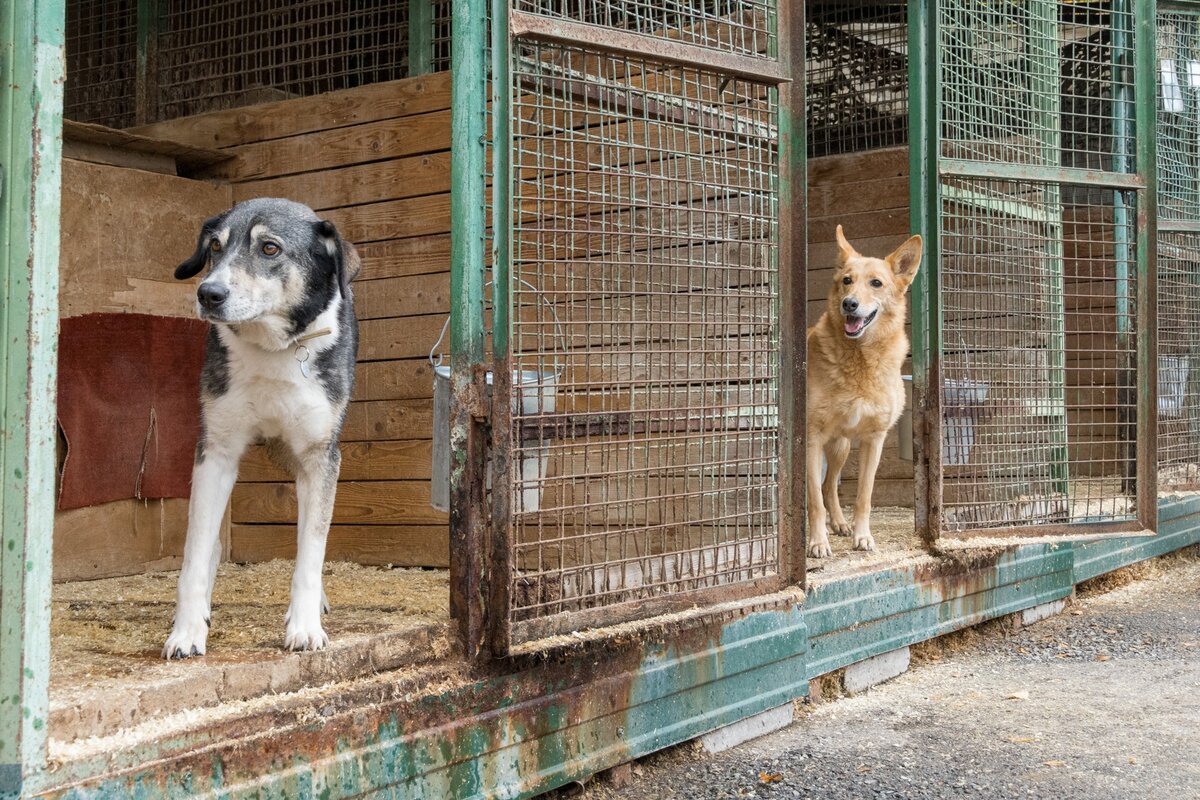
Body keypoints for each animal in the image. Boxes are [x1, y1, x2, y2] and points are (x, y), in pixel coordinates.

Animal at [165, 199, 360, 657]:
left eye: (270, 248)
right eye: (215, 247)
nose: (209, 294)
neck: (272, 349)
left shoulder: (320, 458)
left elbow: (311, 552)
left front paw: (305, 627)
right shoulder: (215, 451)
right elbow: (196, 551)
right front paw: (187, 630)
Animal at [811, 221, 921, 556]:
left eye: (876, 283)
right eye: (847, 280)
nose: (849, 304)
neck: (860, 360)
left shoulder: (875, 439)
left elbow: (864, 496)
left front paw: (863, 536)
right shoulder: (812, 437)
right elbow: (813, 502)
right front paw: (816, 543)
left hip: (841, 447)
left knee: (829, 486)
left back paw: (839, 523)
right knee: (819, 489)